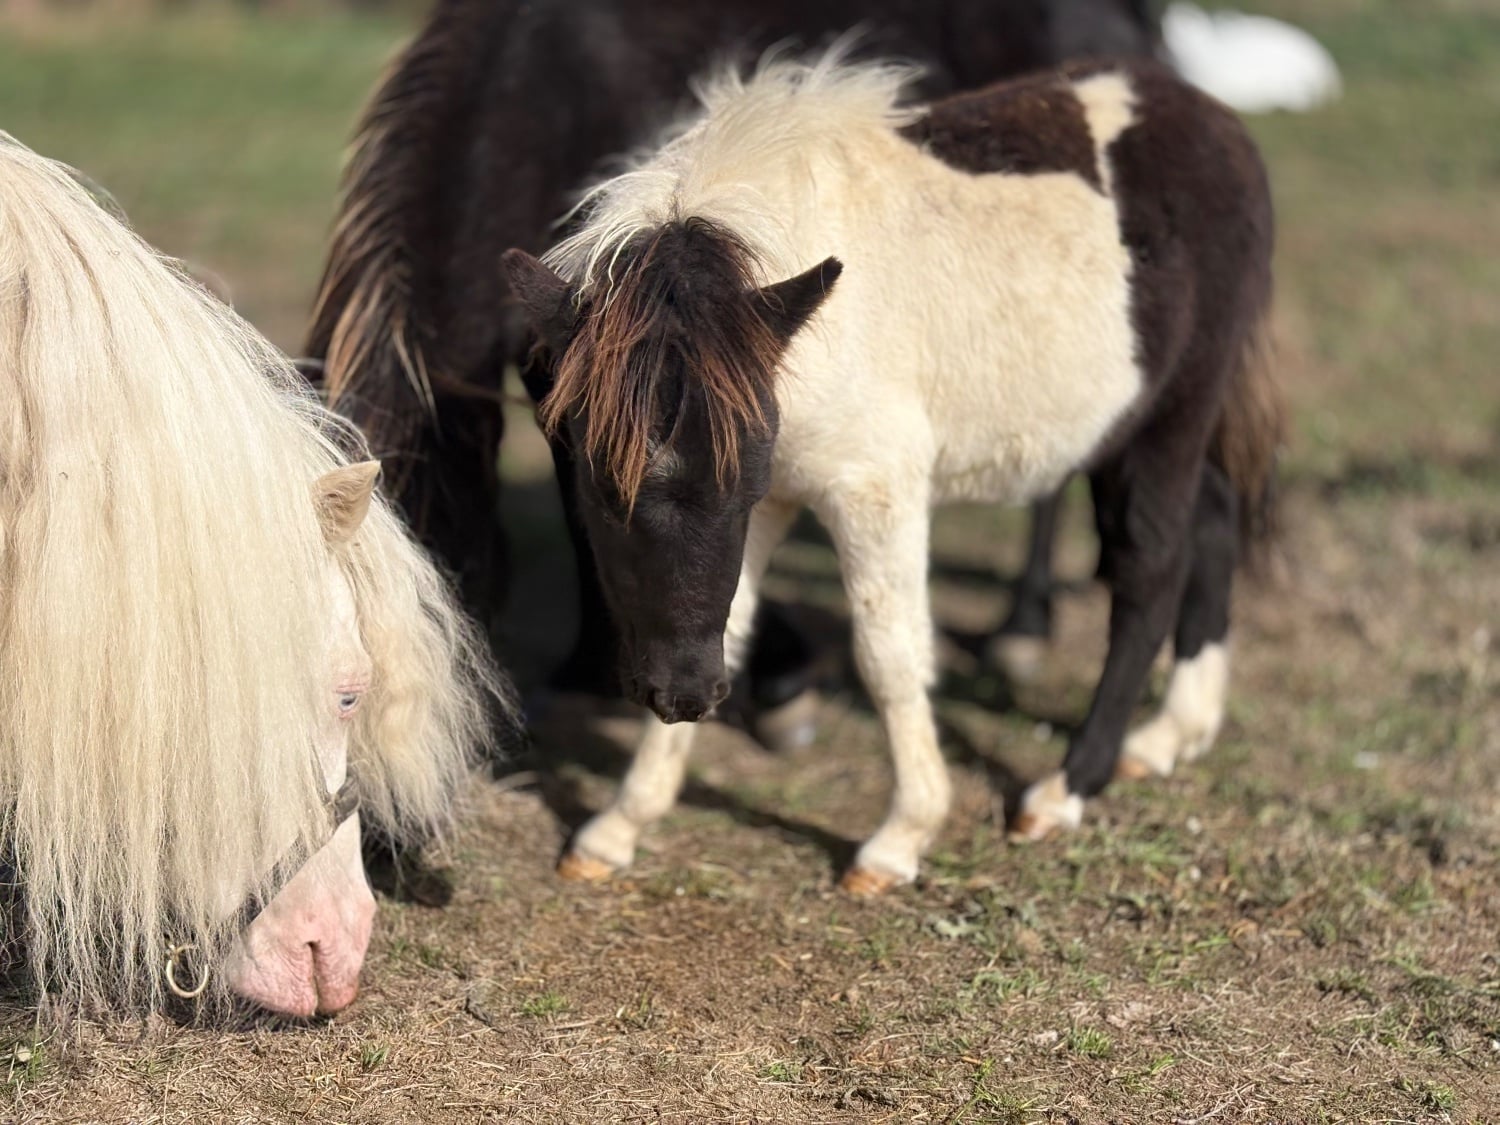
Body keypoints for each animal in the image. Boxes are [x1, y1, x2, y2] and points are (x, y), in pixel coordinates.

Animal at [502, 48, 1280, 893]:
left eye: (740, 486)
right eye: (600, 494)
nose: (682, 694)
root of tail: (1225, 128)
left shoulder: (868, 488)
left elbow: (891, 653)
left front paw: (901, 836)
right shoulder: (777, 498)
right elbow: (733, 624)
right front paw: (620, 824)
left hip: (1172, 416)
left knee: (1150, 567)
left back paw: (1067, 787)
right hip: (1134, 427)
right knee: (1213, 520)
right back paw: (1172, 734)